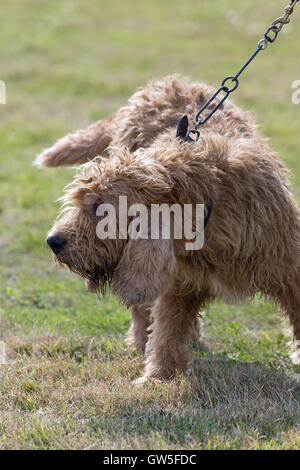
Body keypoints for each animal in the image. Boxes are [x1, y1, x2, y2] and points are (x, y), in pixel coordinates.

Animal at [36, 74, 300, 382]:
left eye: (102, 209)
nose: (53, 241)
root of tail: (162, 84)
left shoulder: (289, 266)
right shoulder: (176, 281)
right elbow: (167, 331)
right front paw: (158, 377)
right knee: (143, 310)